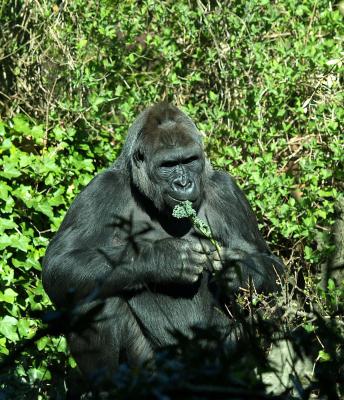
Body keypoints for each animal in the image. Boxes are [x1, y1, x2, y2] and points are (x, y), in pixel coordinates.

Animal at [41, 102, 284, 382]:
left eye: (189, 161)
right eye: (168, 165)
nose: (184, 183)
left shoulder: (228, 192)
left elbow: (272, 266)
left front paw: (236, 270)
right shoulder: (101, 189)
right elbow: (61, 263)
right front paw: (166, 259)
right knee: (90, 297)